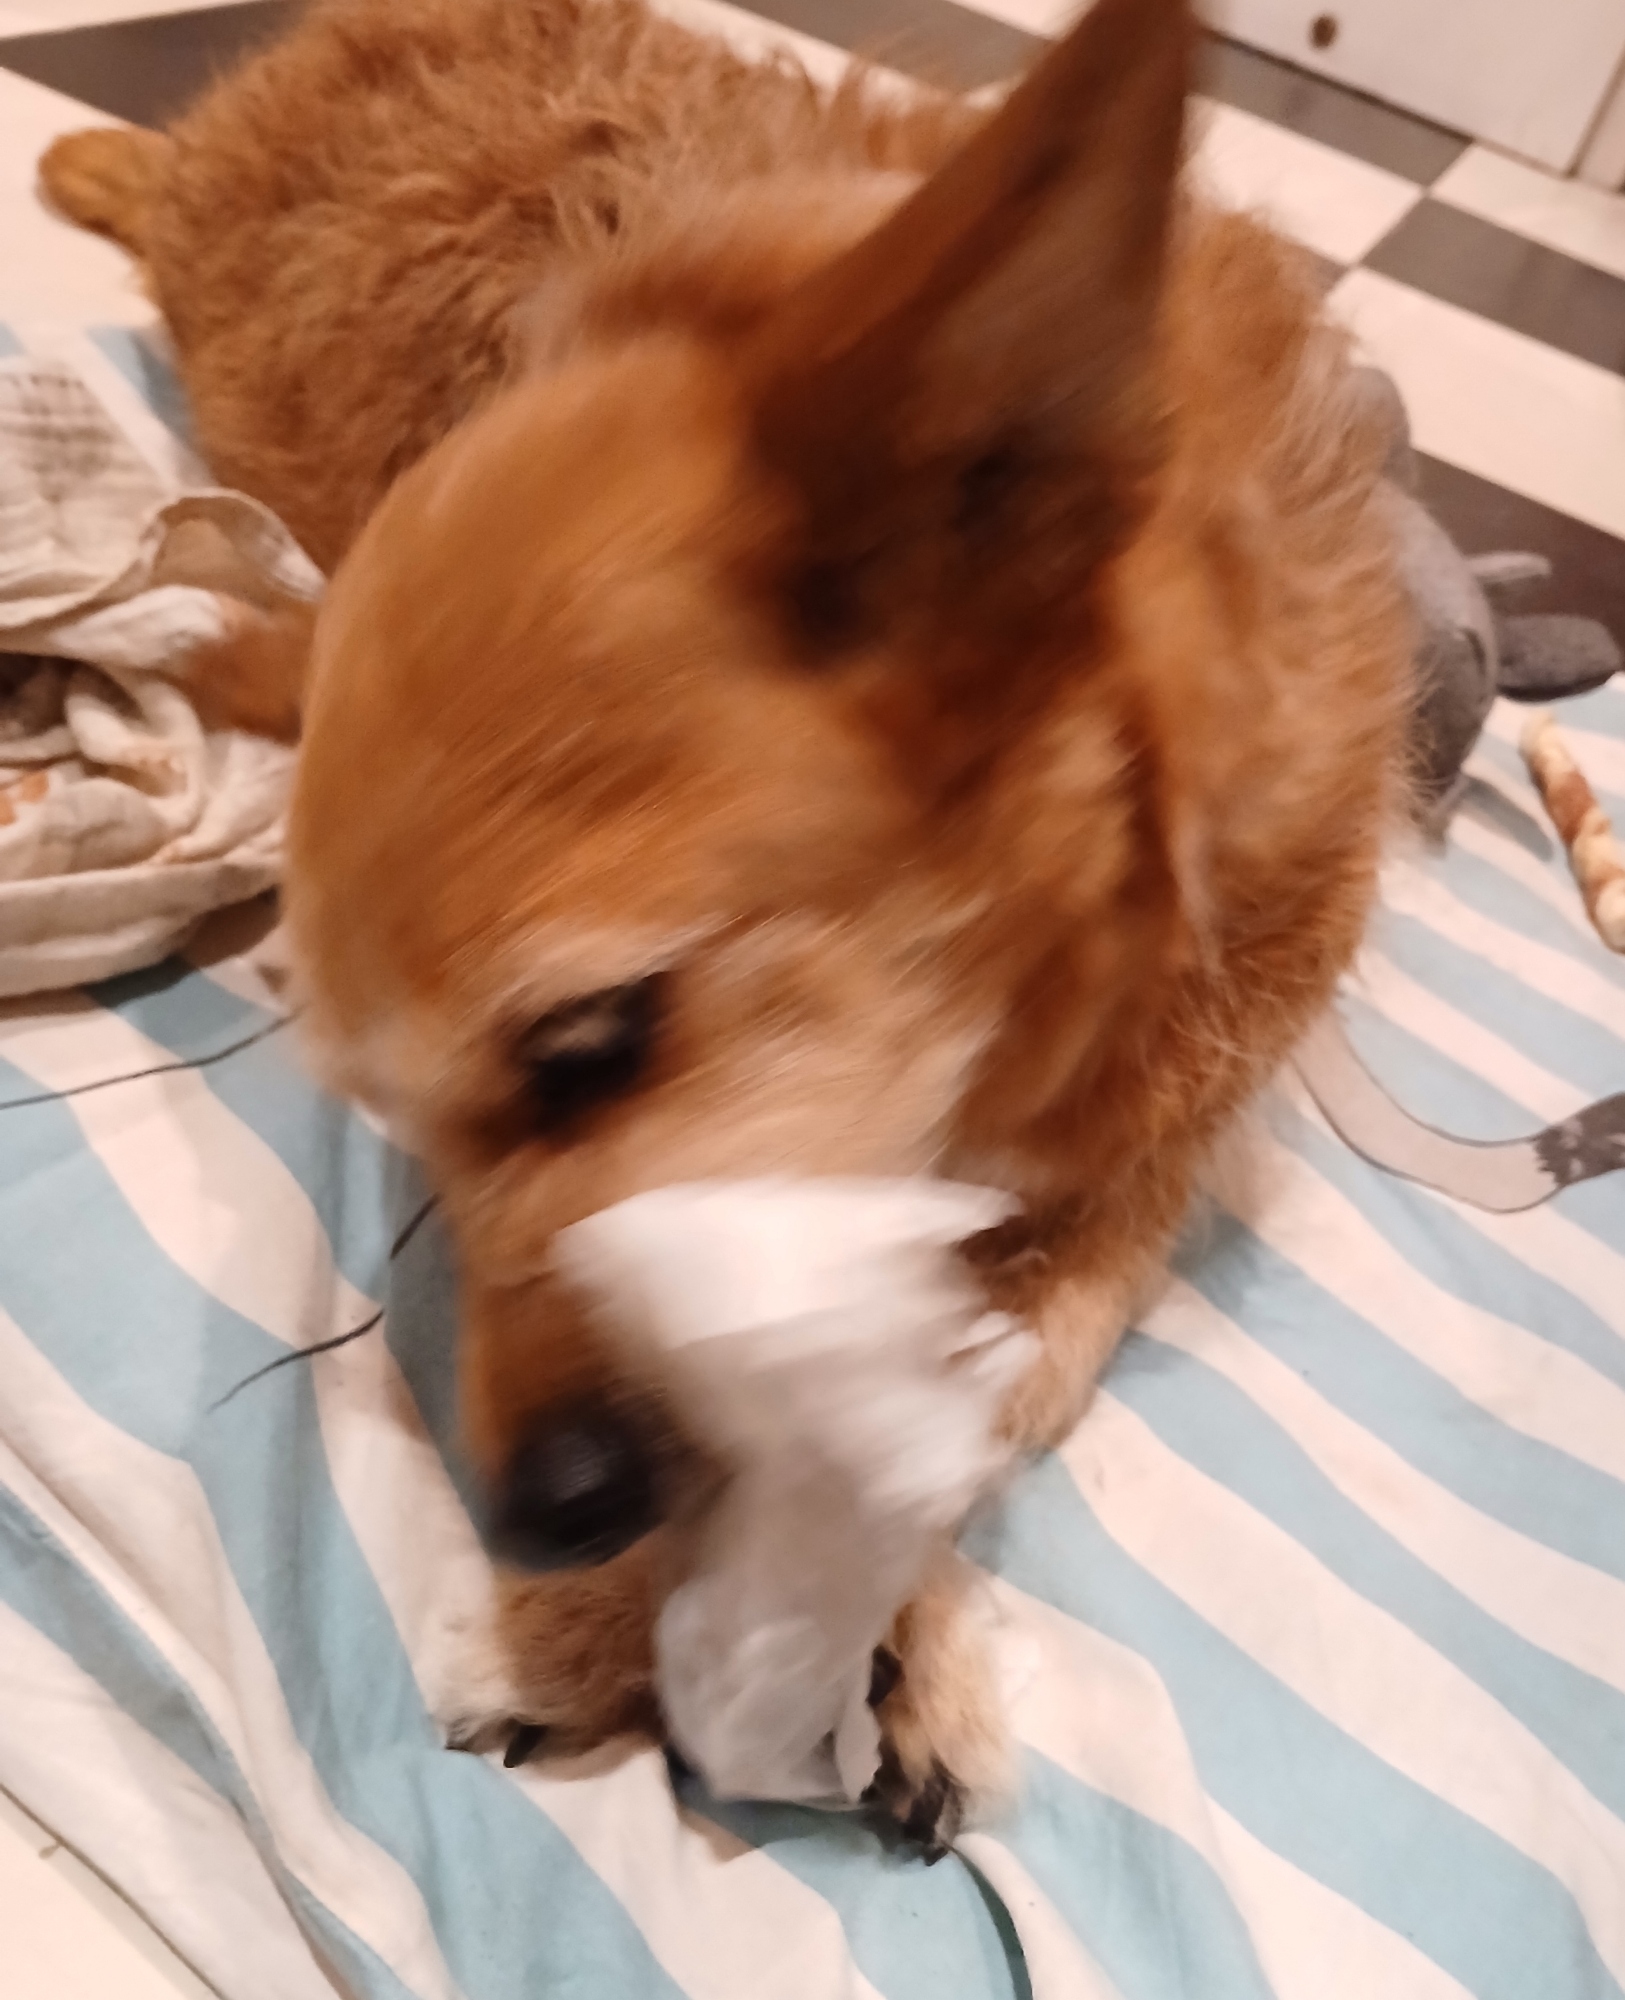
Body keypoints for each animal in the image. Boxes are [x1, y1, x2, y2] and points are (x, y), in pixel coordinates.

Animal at [42, 0, 1408, 1843]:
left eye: (589, 1042)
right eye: (401, 1143)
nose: (536, 1514)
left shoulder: (1136, 1182)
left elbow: (974, 1381)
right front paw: (632, 1621)